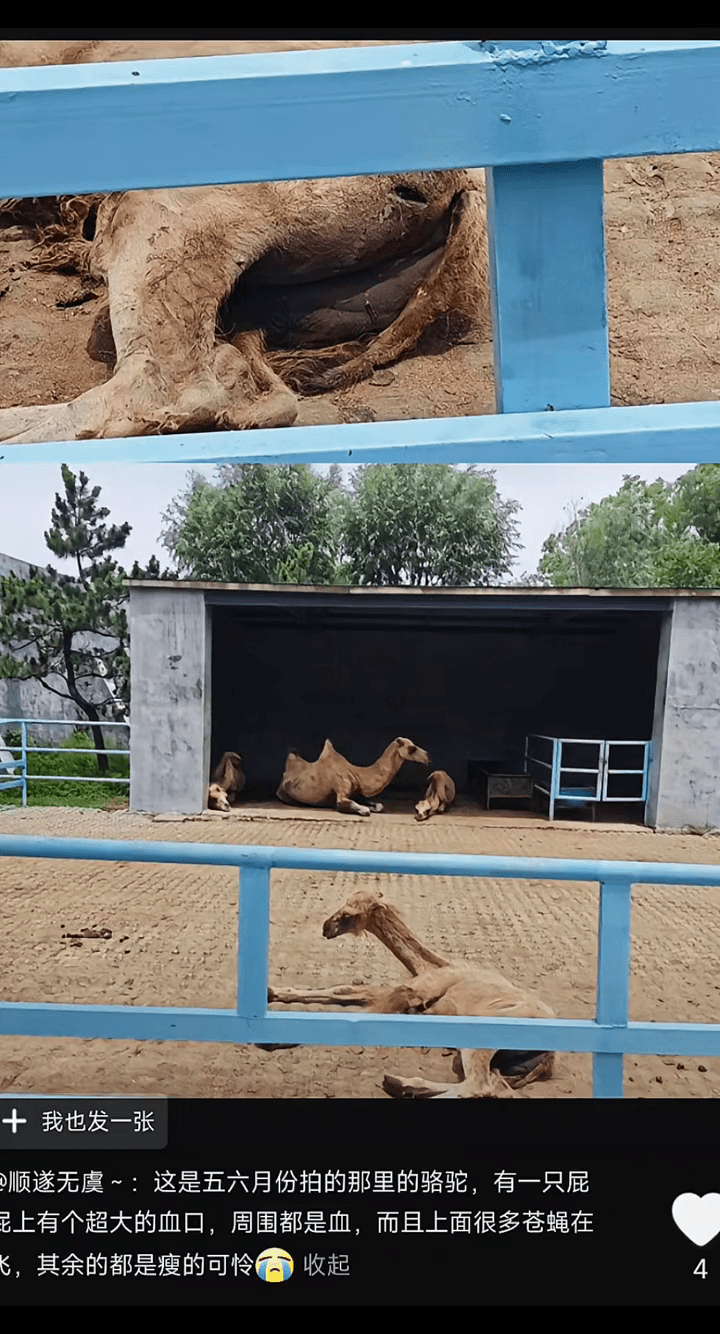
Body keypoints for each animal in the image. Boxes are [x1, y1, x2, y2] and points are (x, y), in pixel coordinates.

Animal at [269, 891, 557, 1099]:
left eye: (350, 913)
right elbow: (345, 990)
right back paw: (396, 1083)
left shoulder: (413, 992)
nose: (326, 927)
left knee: (478, 1086)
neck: (432, 966)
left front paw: (278, 1040)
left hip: (481, 1035)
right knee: (494, 1086)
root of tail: (550, 1055)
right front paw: (273, 992)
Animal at [277, 736, 429, 816]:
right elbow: (363, 810)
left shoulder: (357, 793)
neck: (357, 773)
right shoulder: (341, 795)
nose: (428, 757)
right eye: (412, 748)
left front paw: (374, 807)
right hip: (284, 793)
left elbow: (379, 805)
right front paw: (366, 809)